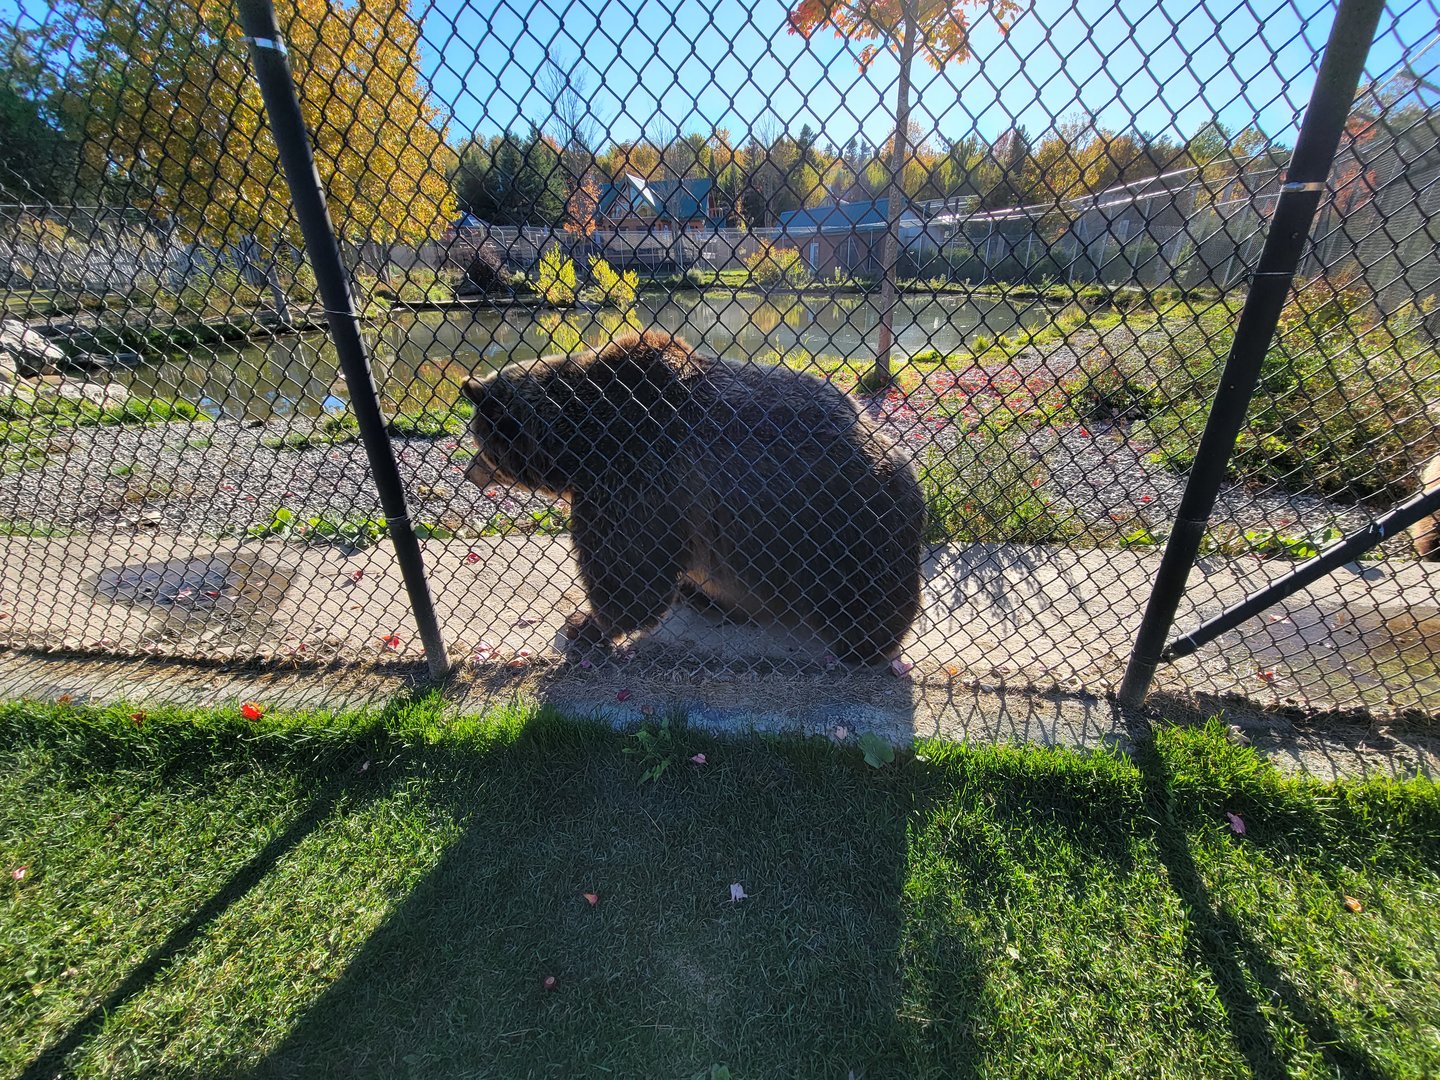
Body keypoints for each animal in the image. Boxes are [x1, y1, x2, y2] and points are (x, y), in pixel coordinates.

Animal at [461, 330, 925, 664]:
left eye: (479, 440)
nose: (469, 472)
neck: (578, 445)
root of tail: (890, 446)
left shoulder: (634, 475)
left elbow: (629, 575)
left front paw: (585, 625)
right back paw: (702, 595)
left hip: (850, 526)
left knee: (869, 597)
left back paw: (863, 646)